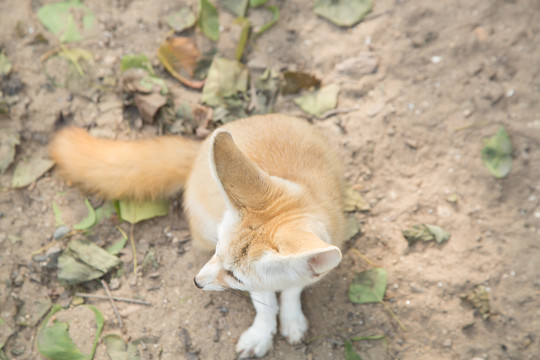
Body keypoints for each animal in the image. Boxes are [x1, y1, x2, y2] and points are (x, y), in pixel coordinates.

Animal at [50, 114, 346, 358]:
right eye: (217, 250)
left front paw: (292, 318)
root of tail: (201, 148)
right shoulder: (254, 283)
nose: (197, 282)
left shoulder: (313, 267)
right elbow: (265, 306)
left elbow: (293, 290)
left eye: (235, 276)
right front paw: (262, 333)